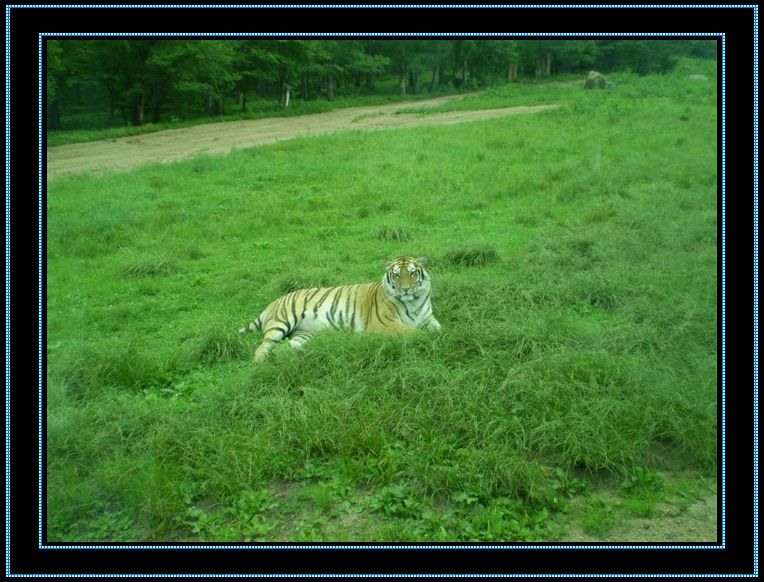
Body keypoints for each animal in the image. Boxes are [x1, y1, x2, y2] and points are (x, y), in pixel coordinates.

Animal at [239, 258, 442, 362]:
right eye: (397, 275)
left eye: (412, 273)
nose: (406, 289)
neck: (413, 302)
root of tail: (272, 303)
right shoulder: (384, 324)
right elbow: (414, 333)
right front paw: (427, 340)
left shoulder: (428, 318)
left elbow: (439, 329)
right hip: (281, 323)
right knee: (263, 347)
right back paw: (262, 363)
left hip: (302, 334)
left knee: (286, 348)